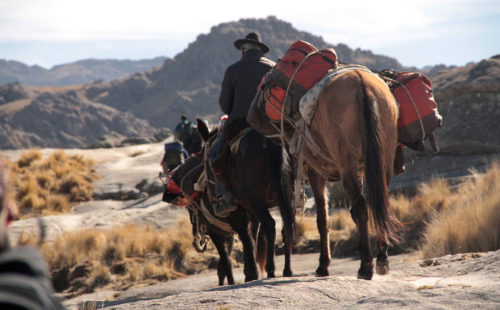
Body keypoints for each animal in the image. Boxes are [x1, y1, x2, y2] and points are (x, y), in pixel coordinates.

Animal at [162, 121, 294, 284]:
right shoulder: (244, 220)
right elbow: (250, 242)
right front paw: (249, 273)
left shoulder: (222, 227)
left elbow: (230, 257)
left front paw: (250, 274)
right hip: (287, 196)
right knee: (287, 226)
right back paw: (287, 270)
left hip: (255, 201)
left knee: (270, 225)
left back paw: (270, 269)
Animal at [250, 66, 402, 280]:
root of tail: (361, 83)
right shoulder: (361, 171)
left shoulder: (316, 173)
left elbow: (323, 219)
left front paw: (323, 265)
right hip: (382, 160)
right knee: (378, 202)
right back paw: (381, 260)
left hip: (346, 164)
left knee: (362, 207)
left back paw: (365, 266)